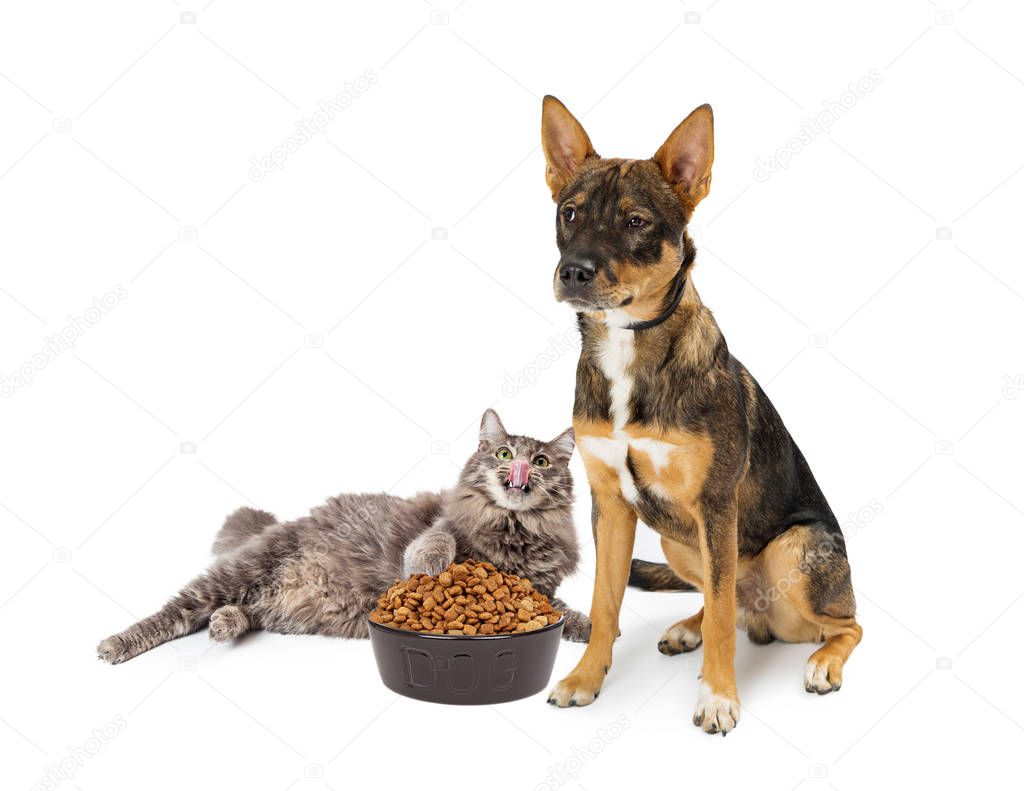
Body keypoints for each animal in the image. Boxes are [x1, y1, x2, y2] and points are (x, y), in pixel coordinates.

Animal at [97, 407, 593, 659]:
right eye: (504, 453)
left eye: (542, 461)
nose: (521, 467)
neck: (514, 529)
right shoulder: (444, 524)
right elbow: (439, 540)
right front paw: (431, 565)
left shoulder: (539, 590)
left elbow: (565, 613)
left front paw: (594, 632)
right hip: (237, 571)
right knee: (172, 613)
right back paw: (115, 645)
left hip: (263, 601)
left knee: (237, 612)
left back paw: (225, 623)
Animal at [540, 97, 860, 733]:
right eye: (569, 212)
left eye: (636, 222)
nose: (574, 272)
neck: (629, 347)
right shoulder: (611, 506)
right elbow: (605, 603)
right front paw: (586, 679)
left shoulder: (715, 503)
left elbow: (718, 615)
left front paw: (718, 698)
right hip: (677, 543)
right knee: (724, 603)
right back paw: (689, 629)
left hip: (791, 549)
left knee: (840, 623)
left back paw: (821, 663)